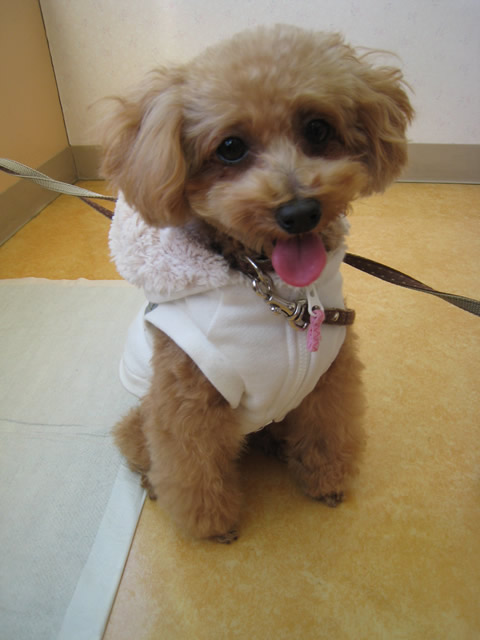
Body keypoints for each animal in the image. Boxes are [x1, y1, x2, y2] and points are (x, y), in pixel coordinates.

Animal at [101, 24, 413, 542]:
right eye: (230, 147)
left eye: (318, 129)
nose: (299, 212)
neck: (275, 291)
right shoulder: (188, 401)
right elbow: (192, 467)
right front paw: (213, 526)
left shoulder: (329, 374)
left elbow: (329, 430)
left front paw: (326, 480)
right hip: (139, 417)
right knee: (139, 448)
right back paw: (151, 481)